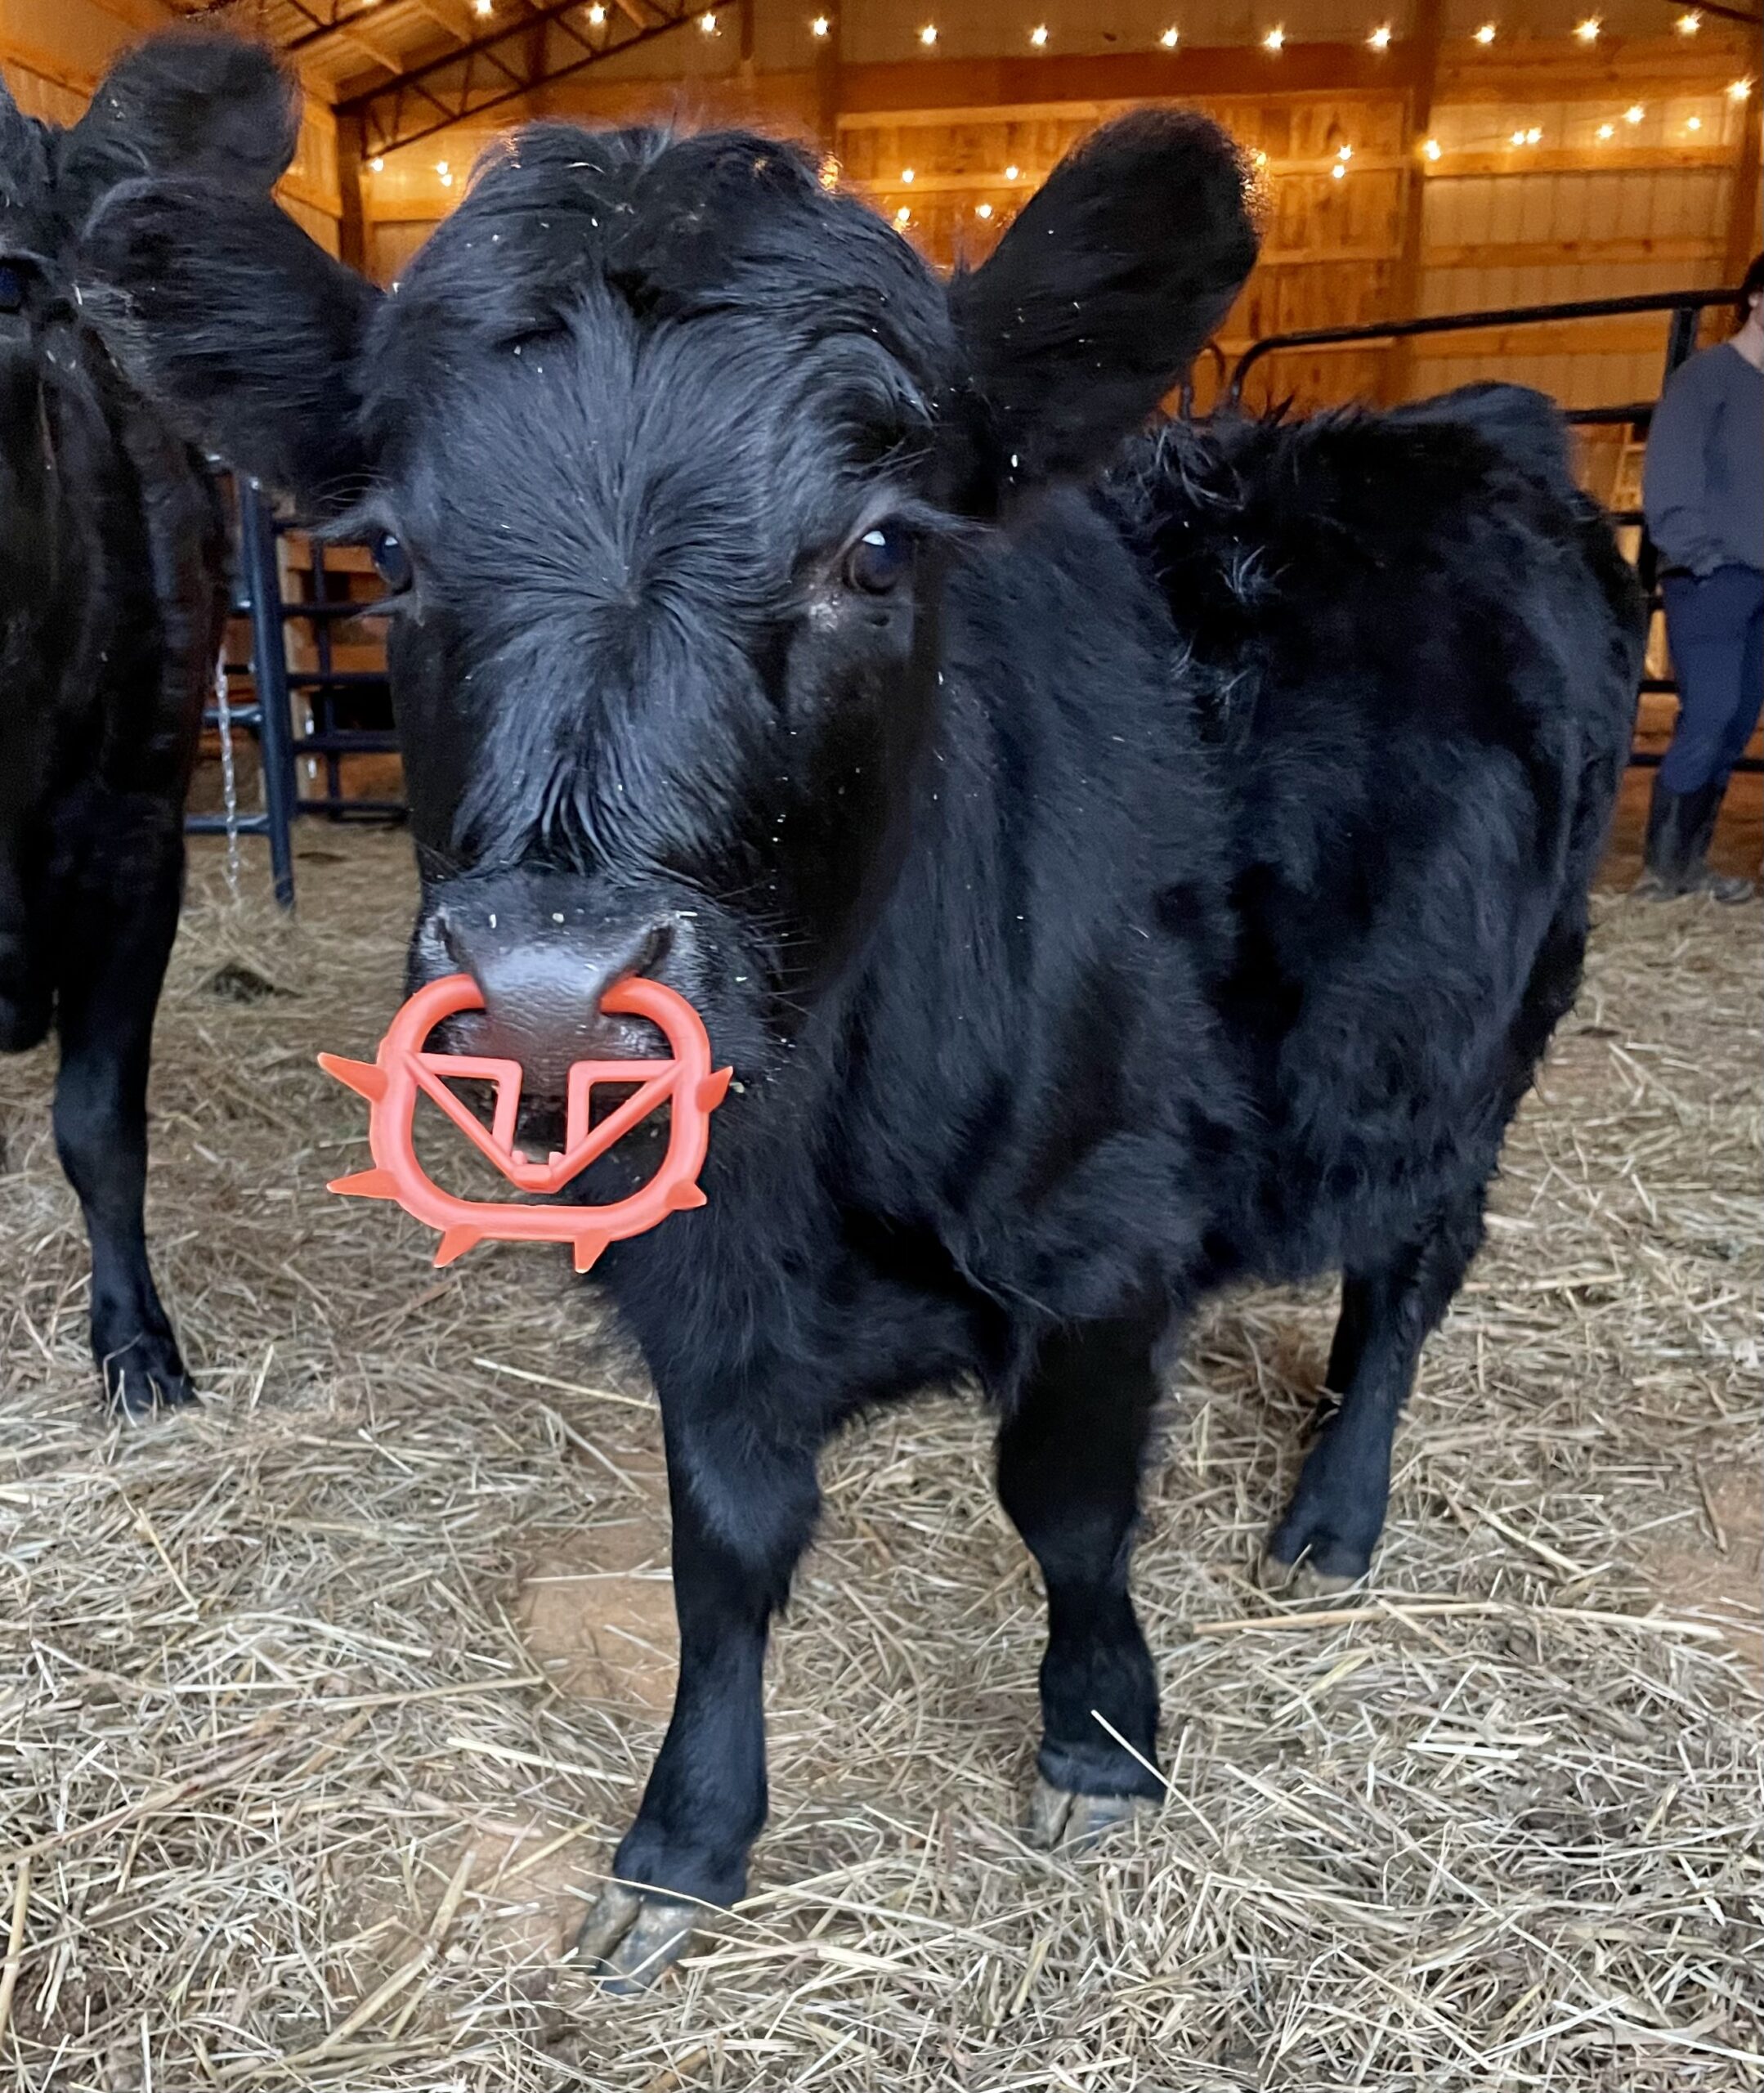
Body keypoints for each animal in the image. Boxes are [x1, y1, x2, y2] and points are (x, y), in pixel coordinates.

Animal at [81, 41, 1644, 1987]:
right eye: (394, 560)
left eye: (883, 547)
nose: (545, 989)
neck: (810, 1165)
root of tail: (1463, 421)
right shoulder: (693, 1292)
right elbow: (721, 1554)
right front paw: (686, 1835)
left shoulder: (1105, 1234)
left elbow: (1064, 1501)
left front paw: (1097, 1738)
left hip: (1492, 1028)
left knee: (1413, 1264)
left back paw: (1331, 1513)